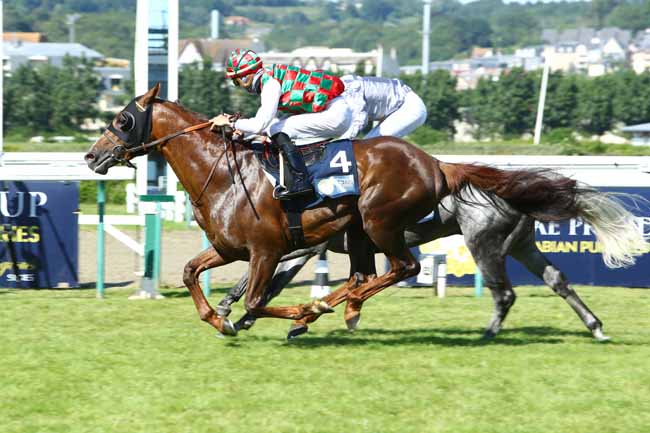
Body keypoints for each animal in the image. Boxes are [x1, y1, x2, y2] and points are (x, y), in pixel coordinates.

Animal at [217, 189, 612, 341]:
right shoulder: (305, 249)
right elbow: (270, 282)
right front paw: (245, 316)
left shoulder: (301, 248)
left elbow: (260, 279)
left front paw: (230, 310)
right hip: (522, 244)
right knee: (557, 279)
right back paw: (595, 327)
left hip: (482, 242)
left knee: (504, 293)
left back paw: (488, 333)